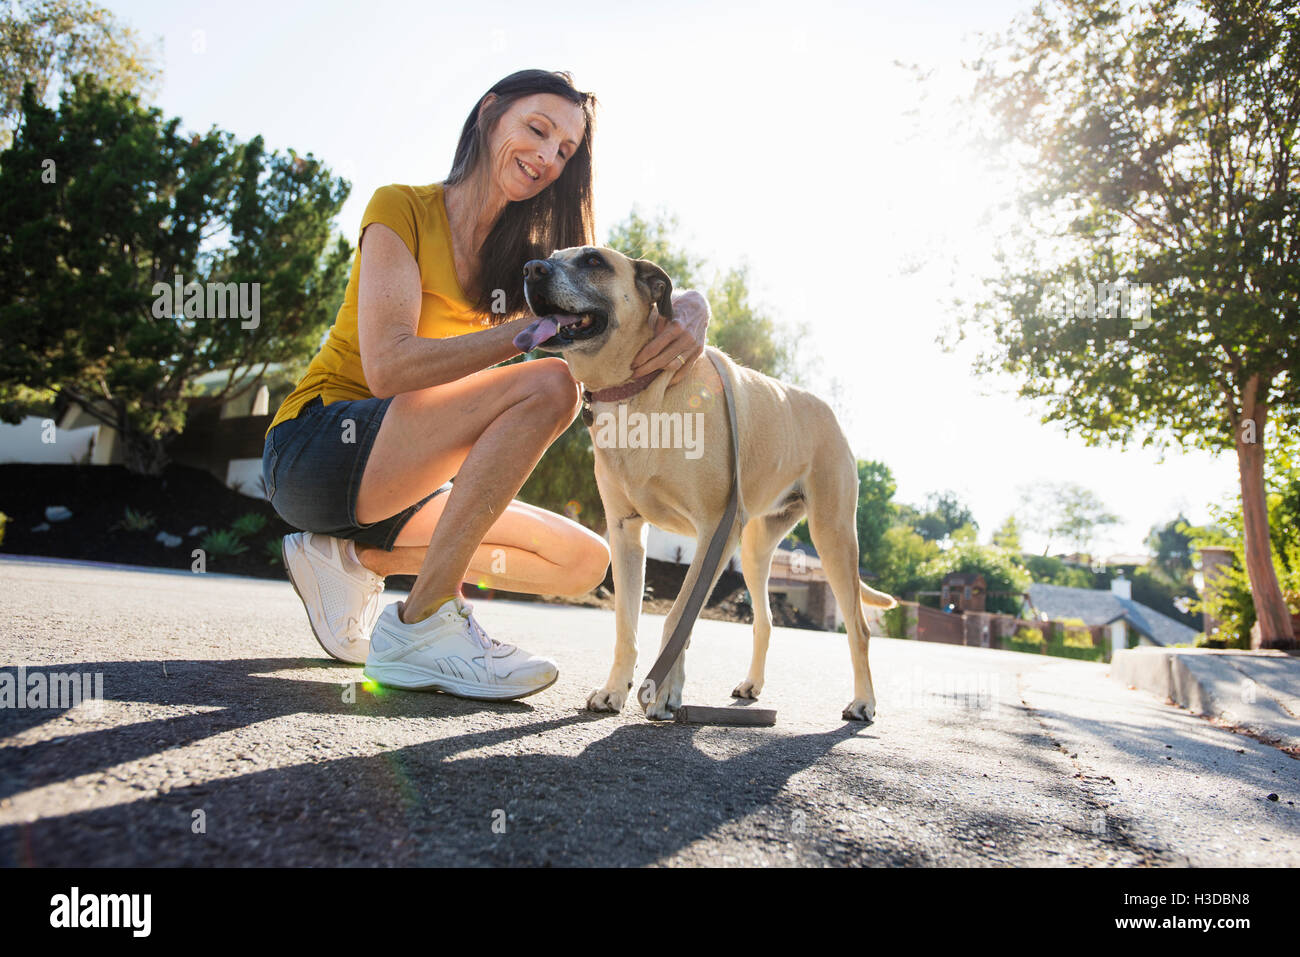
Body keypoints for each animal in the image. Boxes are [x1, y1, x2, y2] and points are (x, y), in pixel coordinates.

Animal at [517, 248, 894, 722]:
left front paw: (662, 693)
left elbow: (678, 617)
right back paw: (752, 685)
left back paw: (864, 702)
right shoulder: (625, 531)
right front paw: (616, 689)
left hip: (832, 537)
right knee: (765, 620)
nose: (530, 269)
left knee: (859, 628)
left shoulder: (714, 529)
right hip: (754, 550)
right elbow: (626, 623)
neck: (641, 394)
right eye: (550, 256)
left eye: (593, 260)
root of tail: (826, 408)